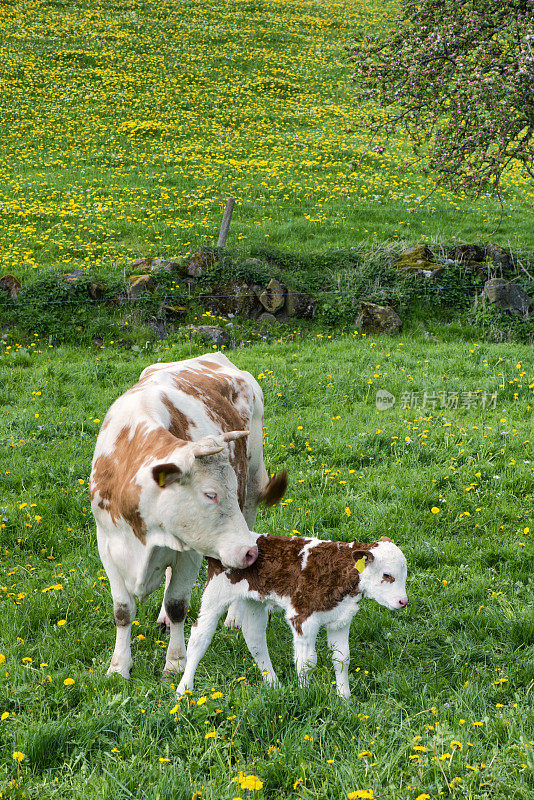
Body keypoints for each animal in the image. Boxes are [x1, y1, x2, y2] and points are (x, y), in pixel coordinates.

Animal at [89, 354, 286, 680]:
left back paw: (234, 616)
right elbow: (123, 610)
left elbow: (177, 604)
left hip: (252, 492)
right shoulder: (107, 544)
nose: (250, 552)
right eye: (210, 494)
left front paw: (176, 663)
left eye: (230, 487)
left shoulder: (192, 552)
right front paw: (119, 667)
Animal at [178, 536, 408, 696]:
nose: (403, 602)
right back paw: (184, 688)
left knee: (254, 638)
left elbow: (342, 659)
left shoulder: (340, 620)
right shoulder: (303, 619)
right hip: (215, 596)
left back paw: (273, 684)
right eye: (387, 575)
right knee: (199, 637)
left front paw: (345, 698)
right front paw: (306, 694)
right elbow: (307, 662)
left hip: (254, 601)